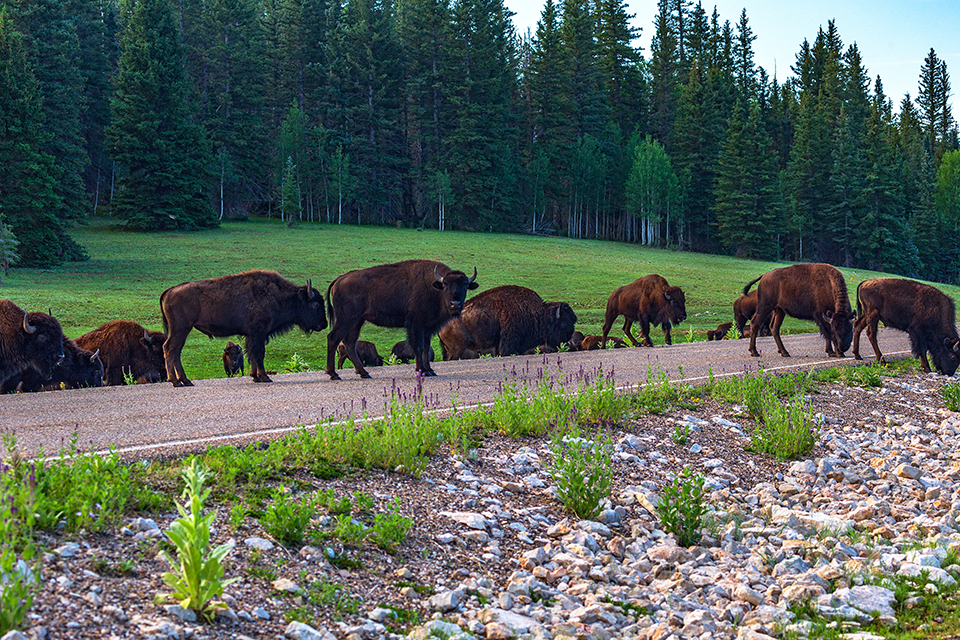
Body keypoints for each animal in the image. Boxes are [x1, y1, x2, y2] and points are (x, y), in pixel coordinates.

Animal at [160, 270, 326, 386]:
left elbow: (251, 354)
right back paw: (176, 382)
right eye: (315, 304)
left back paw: (185, 381)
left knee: (176, 351)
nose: (324, 324)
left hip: (182, 330)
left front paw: (255, 377)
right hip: (181, 329)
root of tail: (170, 290)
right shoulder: (258, 333)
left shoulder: (252, 336)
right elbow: (258, 354)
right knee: (170, 349)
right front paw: (265, 377)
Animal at [326, 260, 477, 379]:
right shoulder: (416, 325)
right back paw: (334, 374)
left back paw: (364, 373)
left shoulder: (427, 328)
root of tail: (340, 279)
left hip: (357, 321)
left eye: (465, 284)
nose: (455, 304)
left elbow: (426, 347)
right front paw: (422, 370)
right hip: (346, 319)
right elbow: (418, 347)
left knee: (350, 343)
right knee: (333, 338)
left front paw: (430, 370)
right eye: (445, 284)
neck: (434, 287)